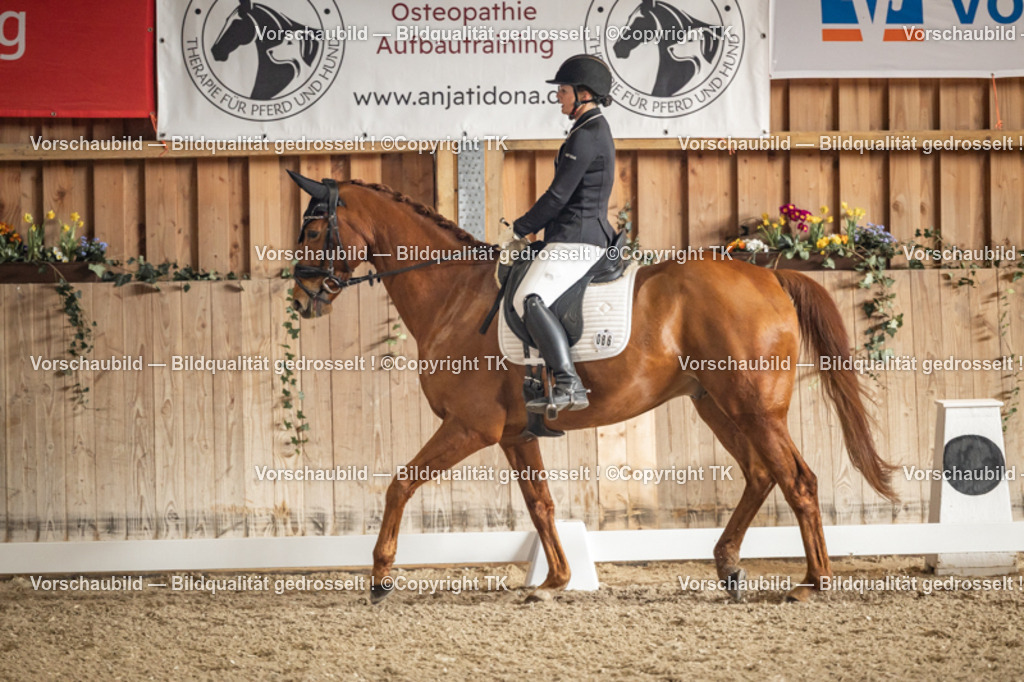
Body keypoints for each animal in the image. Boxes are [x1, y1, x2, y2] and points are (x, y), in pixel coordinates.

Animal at [286, 172, 899, 604]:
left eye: (313, 231)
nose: (301, 299)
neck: (453, 294)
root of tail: (769, 274)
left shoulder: (470, 426)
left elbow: (400, 484)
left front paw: (380, 576)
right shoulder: (514, 434)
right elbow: (540, 504)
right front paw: (554, 580)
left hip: (756, 408)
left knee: (798, 481)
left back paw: (811, 584)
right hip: (717, 406)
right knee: (760, 474)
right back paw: (727, 564)